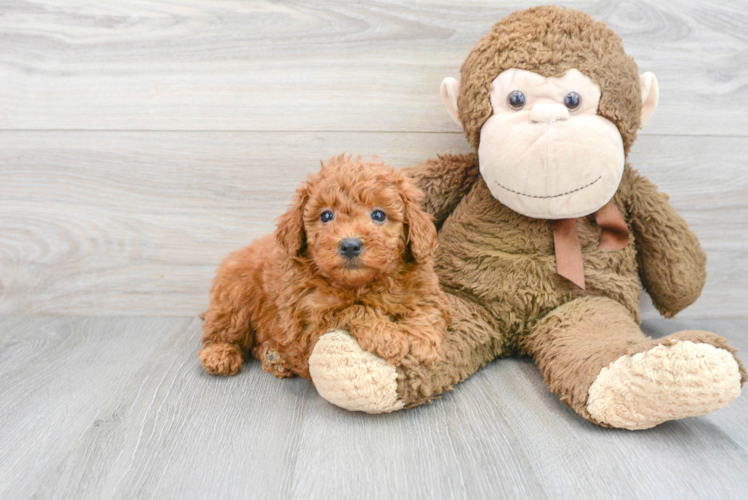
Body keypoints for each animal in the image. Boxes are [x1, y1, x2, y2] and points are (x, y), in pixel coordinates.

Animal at [196, 156, 450, 378]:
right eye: (326, 216)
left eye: (379, 215)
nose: (350, 245)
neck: (361, 285)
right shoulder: (307, 328)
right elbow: (352, 310)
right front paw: (388, 336)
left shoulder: (427, 292)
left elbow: (427, 311)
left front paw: (423, 343)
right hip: (235, 297)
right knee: (221, 332)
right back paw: (219, 354)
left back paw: (274, 357)